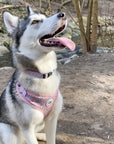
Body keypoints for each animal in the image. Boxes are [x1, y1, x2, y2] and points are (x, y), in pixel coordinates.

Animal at [0, 6, 75, 144]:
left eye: (45, 17)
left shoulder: (52, 120)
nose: (63, 14)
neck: (43, 74)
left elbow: (51, 139)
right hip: (8, 131)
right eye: (35, 21)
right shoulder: (27, 128)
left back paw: (41, 135)